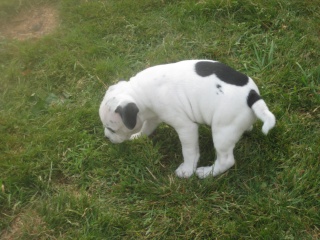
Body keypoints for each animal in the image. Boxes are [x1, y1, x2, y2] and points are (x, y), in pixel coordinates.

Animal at [99, 60, 276, 178]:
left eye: (111, 129)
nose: (107, 137)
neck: (139, 92)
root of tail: (252, 96)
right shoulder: (153, 116)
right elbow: (147, 128)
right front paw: (138, 136)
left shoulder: (186, 127)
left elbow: (189, 151)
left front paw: (187, 170)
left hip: (222, 132)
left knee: (226, 160)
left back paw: (208, 173)